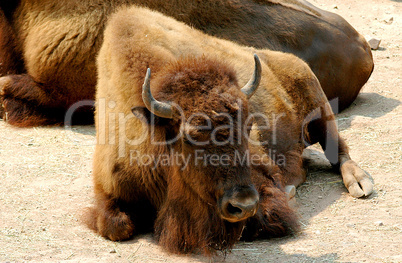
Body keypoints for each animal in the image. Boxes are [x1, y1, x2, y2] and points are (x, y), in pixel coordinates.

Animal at [86, 6, 376, 256]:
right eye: (192, 136)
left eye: (249, 127)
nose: (243, 204)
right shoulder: (107, 188)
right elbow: (116, 227)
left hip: (320, 109)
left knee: (339, 151)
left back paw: (359, 182)